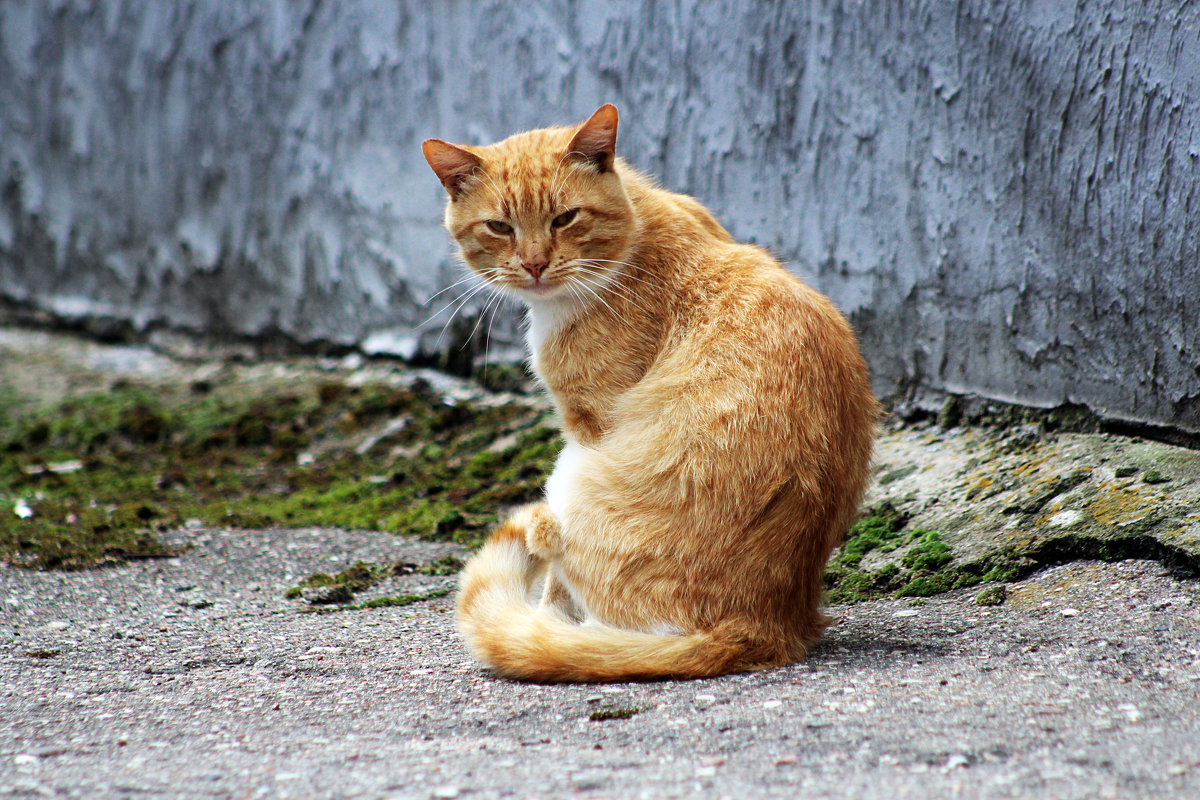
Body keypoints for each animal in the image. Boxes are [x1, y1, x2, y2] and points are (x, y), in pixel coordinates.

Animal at [427, 104, 878, 681]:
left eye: (565, 218)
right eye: (500, 227)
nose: (533, 264)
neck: (635, 235)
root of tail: (763, 626)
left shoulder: (587, 424)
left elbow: (554, 586)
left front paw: (547, 622)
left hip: (571, 476)